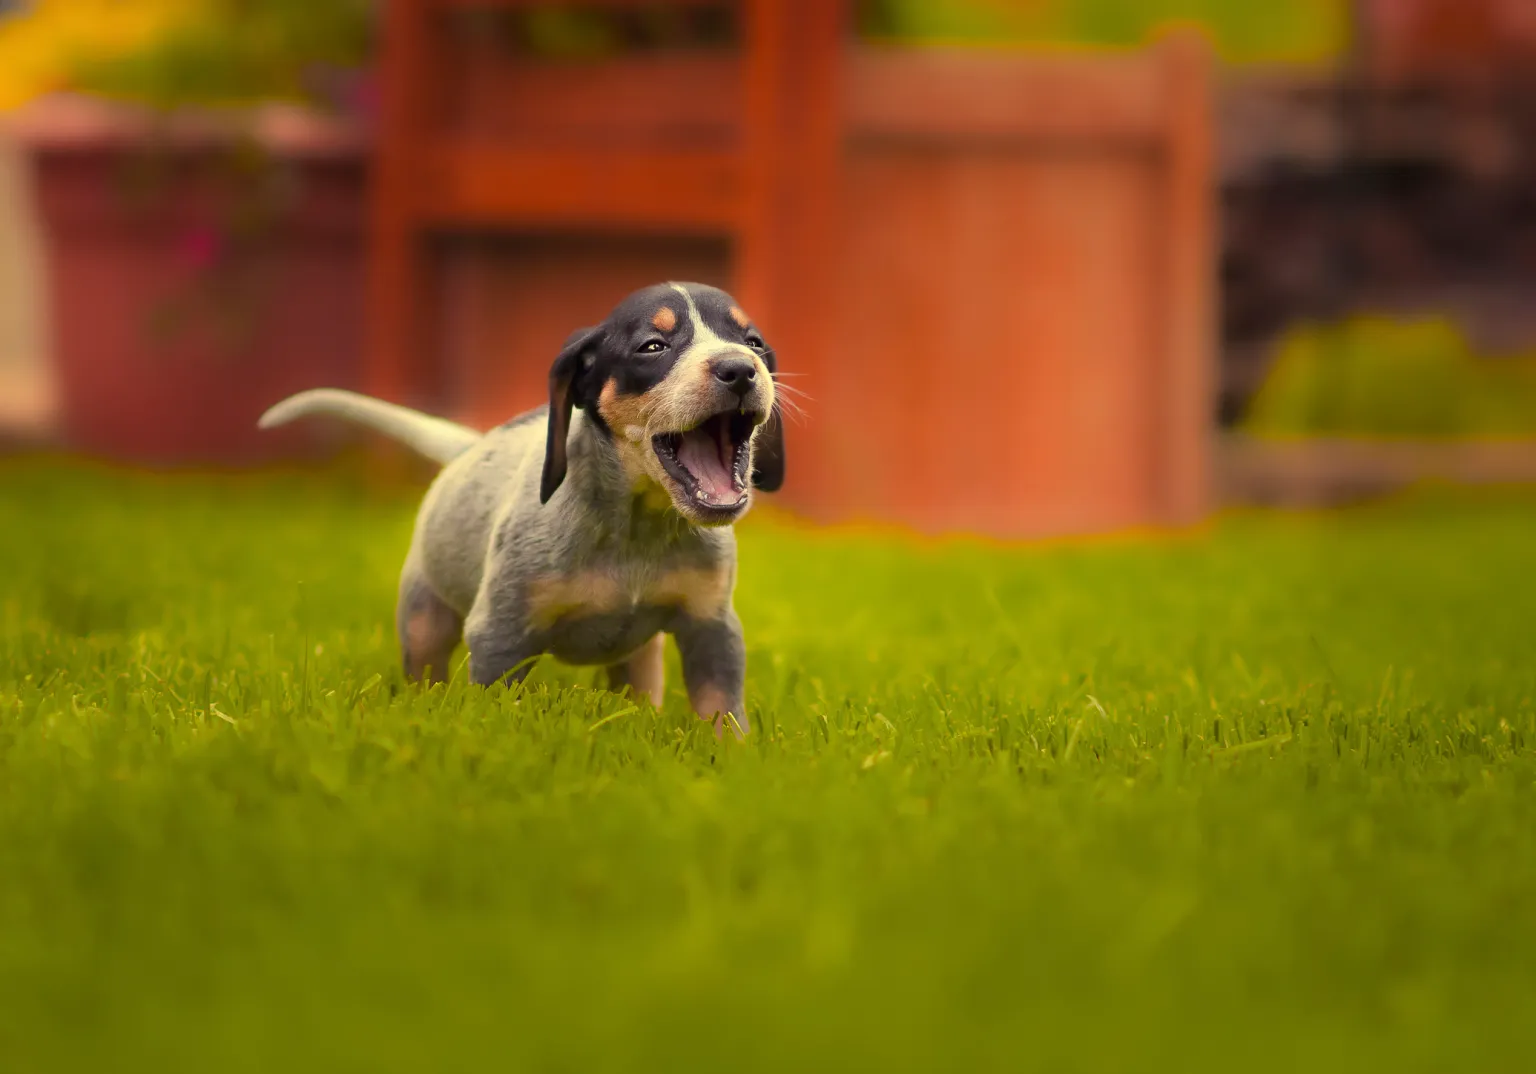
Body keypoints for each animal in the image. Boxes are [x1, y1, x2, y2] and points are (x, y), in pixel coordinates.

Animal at [259, 281, 786, 740]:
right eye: (653, 346)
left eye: (754, 343)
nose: (740, 369)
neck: (637, 528)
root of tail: (469, 446)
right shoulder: (500, 636)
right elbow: (493, 711)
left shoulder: (712, 629)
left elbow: (723, 714)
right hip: (424, 621)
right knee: (424, 671)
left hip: (640, 661)